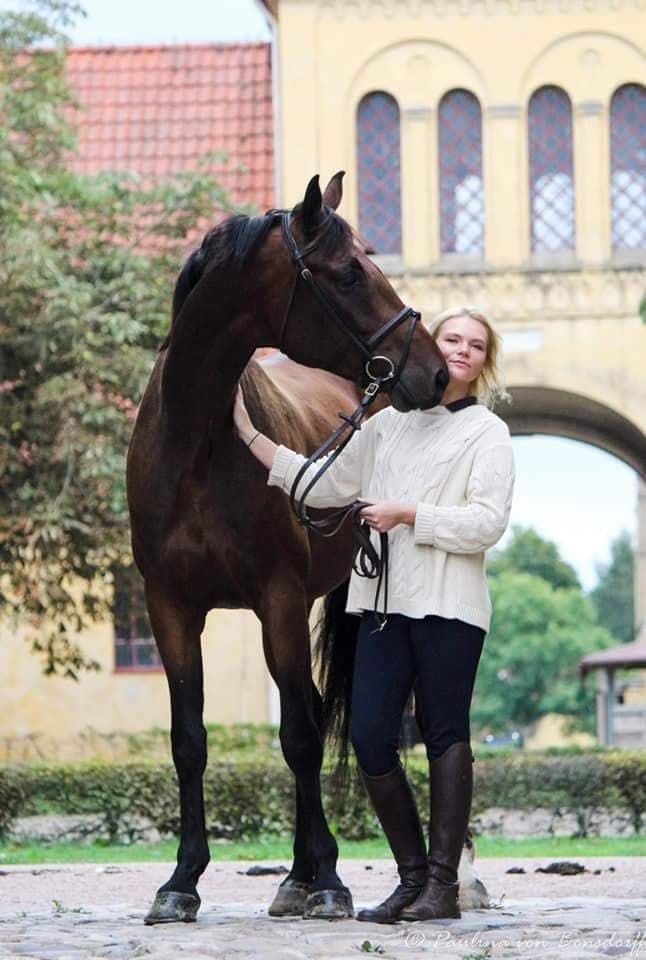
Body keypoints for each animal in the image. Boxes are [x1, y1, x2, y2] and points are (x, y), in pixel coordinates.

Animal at [126, 171, 450, 924]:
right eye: (350, 273)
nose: (435, 372)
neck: (195, 446)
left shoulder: (276, 600)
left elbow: (299, 737)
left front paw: (326, 876)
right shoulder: (169, 609)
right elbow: (189, 741)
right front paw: (180, 880)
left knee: (309, 717)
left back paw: (306, 876)